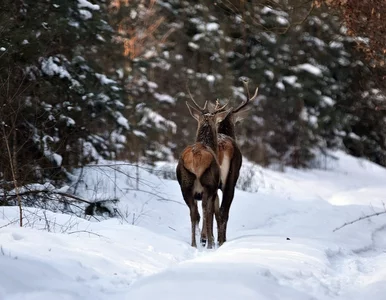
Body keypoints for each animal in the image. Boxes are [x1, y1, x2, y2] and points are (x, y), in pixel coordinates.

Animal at [175, 98, 232, 248]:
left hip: (185, 185)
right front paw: (209, 239)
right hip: (208, 184)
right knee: (205, 209)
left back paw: (194, 244)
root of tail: (195, 157)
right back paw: (209, 243)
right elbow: (212, 212)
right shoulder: (214, 190)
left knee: (193, 213)